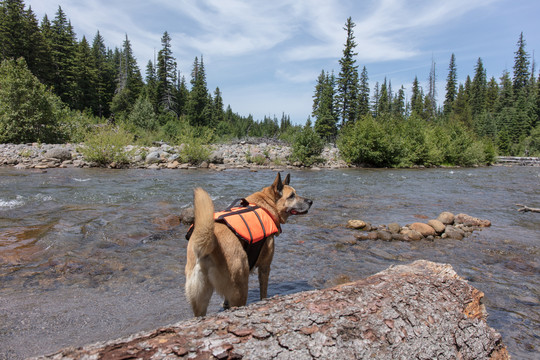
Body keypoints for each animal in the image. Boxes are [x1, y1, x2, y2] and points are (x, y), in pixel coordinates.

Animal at [186, 173, 312, 316]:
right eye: (291, 195)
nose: (310, 201)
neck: (266, 205)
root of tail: (209, 245)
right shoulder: (264, 266)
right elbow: (263, 292)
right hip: (240, 286)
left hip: (200, 299)